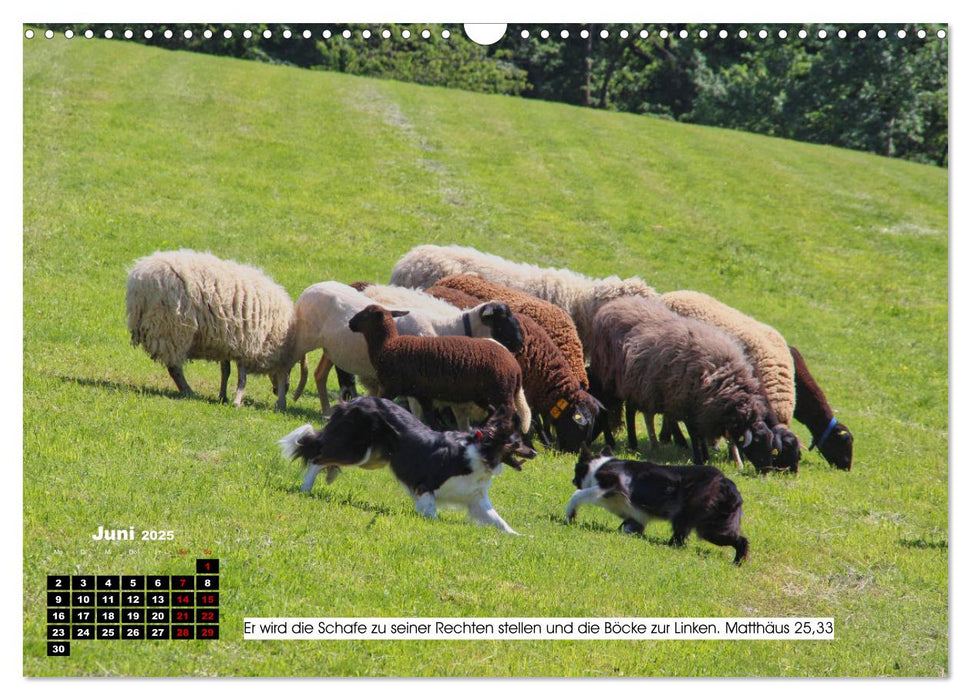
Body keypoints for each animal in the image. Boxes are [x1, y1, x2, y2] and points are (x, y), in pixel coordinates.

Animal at [588, 296, 780, 470]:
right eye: (756, 443)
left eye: (770, 444)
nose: (767, 470)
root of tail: (611, 305)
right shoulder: (685, 402)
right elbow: (695, 434)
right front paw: (699, 458)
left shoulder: (703, 409)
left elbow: (710, 436)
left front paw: (713, 457)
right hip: (611, 380)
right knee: (611, 408)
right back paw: (621, 442)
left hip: (636, 385)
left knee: (631, 410)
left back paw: (639, 444)